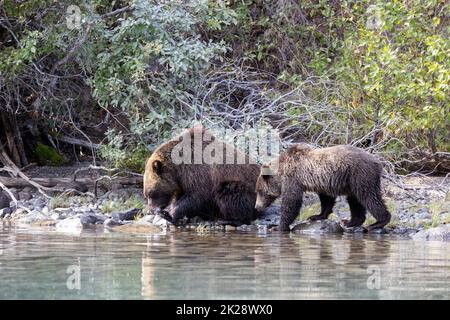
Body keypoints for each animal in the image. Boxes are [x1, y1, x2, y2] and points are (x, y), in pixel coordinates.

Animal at [255, 144, 392, 231]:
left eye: (260, 191)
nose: (257, 207)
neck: (281, 173)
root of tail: (378, 162)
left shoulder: (293, 178)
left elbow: (291, 201)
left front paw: (278, 226)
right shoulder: (323, 181)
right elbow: (326, 199)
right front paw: (317, 216)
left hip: (360, 174)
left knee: (369, 197)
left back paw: (378, 223)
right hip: (352, 181)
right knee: (355, 200)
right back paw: (350, 222)